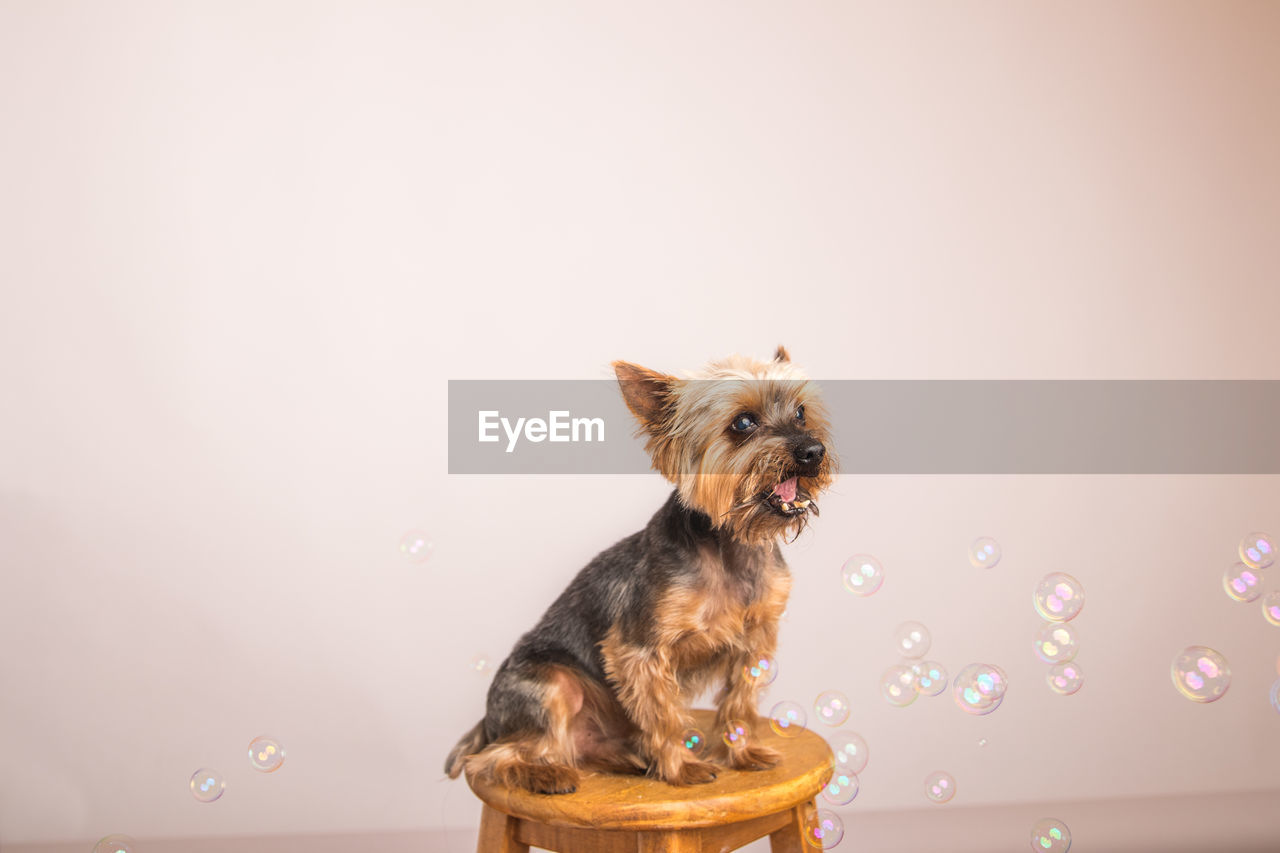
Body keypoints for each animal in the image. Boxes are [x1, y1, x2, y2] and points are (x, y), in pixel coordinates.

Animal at [445, 348, 834, 788]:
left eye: (801, 413)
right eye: (743, 422)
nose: (812, 451)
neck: (731, 545)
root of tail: (488, 720)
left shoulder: (756, 642)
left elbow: (741, 702)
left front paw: (742, 752)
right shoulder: (639, 648)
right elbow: (663, 712)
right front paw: (681, 767)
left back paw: (625, 758)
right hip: (552, 685)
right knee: (494, 757)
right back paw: (547, 774)